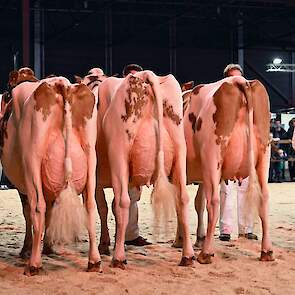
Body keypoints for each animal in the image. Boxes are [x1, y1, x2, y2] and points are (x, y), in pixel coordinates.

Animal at [0, 69, 102, 276]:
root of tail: (61, 83)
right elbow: (51, 212)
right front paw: (48, 246)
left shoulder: (21, 185)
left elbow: (28, 212)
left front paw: (27, 249)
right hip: (91, 158)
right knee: (90, 206)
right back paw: (94, 261)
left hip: (32, 161)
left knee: (37, 207)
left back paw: (34, 263)